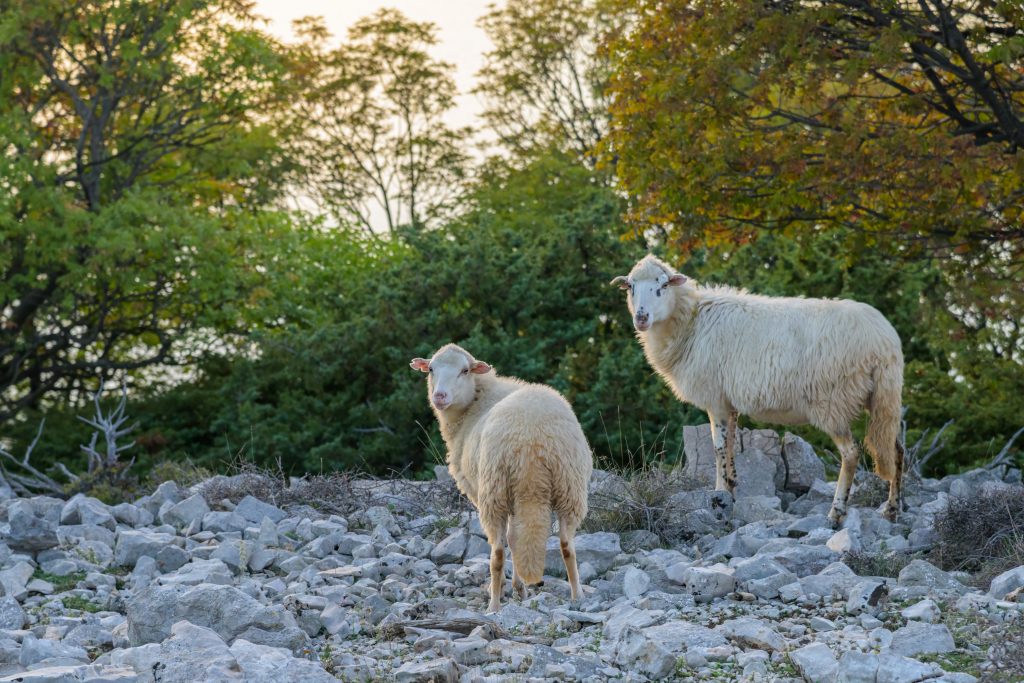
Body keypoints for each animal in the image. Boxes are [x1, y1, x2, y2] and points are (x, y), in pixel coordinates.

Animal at [409, 344, 593, 610]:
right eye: (431, 369)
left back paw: (493, 605)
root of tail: (531, 441)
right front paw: (520, 587)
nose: (440, 396)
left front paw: (515, 587)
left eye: (465, 370)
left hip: (494, 490)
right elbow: (515, 538)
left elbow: (509, 540)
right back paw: (577, 595)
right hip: (569, 487)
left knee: (497, 551)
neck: (475, 402)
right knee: (566, 544)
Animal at [610, 253, 901, 528]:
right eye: (631, 287)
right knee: (896, 449)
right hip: (884, 399)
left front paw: (718, 497)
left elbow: (717, 447)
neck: (691, 321)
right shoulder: (729, 402)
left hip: (832, 400)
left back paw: (836, 513)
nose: (641, 317)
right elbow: (729, 445)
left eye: (662, 286)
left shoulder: (715, 397)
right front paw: (730, 490)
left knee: (851, 454)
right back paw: (892, 509)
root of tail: (883, 341)